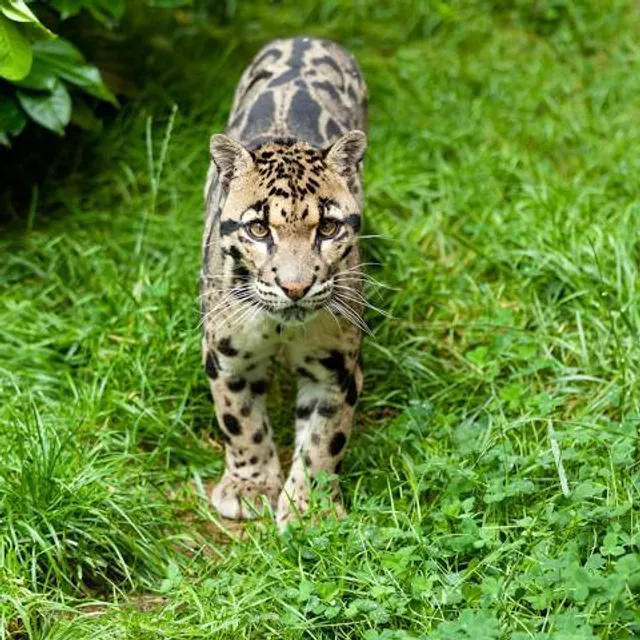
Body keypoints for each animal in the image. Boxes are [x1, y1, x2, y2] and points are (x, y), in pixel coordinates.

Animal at [200, 36, 368, 529]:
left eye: (328, 228)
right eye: (259, 229)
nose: (295, 288)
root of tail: (308, 37)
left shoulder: (336, 366)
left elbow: (324, 438)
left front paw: (310, 508)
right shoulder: (226, 355)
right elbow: (241, 422)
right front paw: (250, 487)